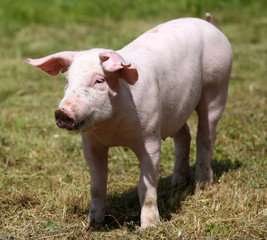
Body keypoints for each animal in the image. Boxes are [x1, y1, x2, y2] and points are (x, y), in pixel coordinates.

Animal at [26, 15, 232, 230]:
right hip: (176, 109)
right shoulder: (91, 143)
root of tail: (208, 23)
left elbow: (146, 185)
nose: (62, 112)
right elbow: (97, 185)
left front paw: (149, 227)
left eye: (99, 81)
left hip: (217, 85)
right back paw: (177, 183)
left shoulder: (150, 137)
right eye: (67, 80)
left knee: (206, 135)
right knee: (185, 134)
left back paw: (202, 185)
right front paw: (93, 224)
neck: (113, 130)